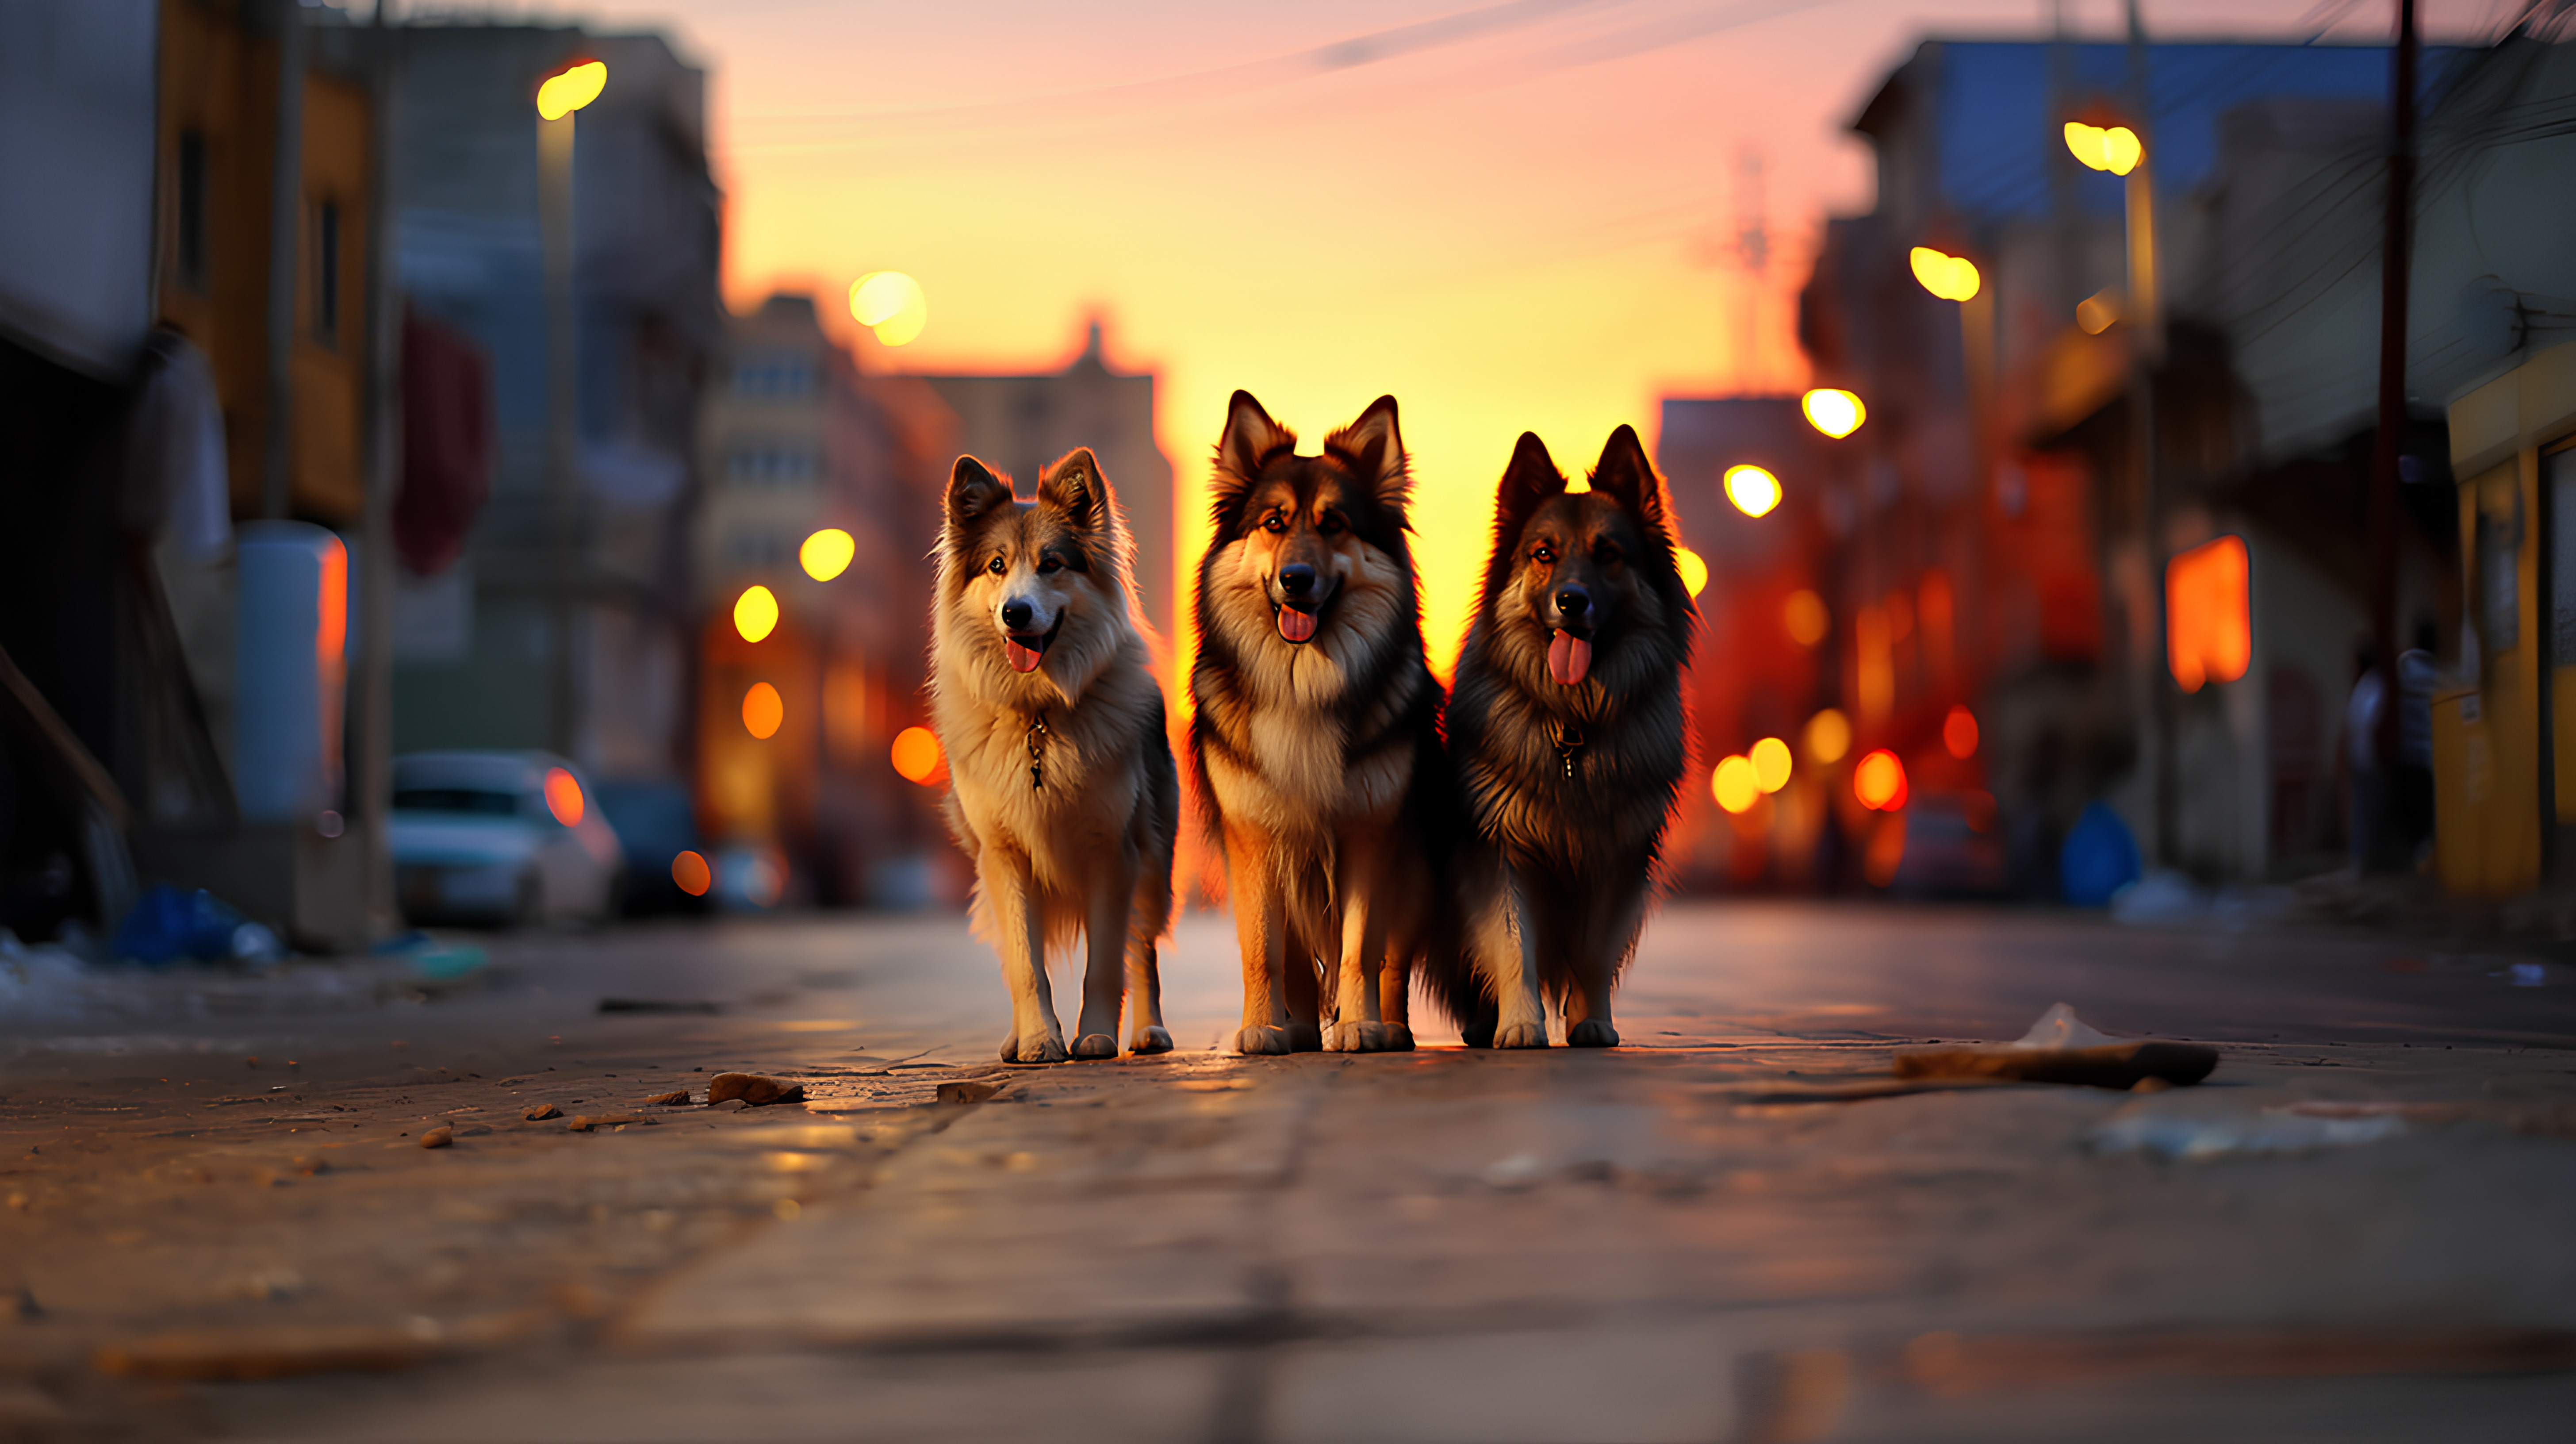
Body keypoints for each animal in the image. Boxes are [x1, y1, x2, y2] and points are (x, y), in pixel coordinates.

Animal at [1432, 422, 1690, 1041]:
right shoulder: (1497, 850)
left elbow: (1593, 951)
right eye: (1543, 554)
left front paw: (1590, 1022)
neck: (1573, 725)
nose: (1572, 602)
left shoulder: (1618, 857)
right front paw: (1521, 1026)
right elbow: (1511, 942)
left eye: (1609, 554)